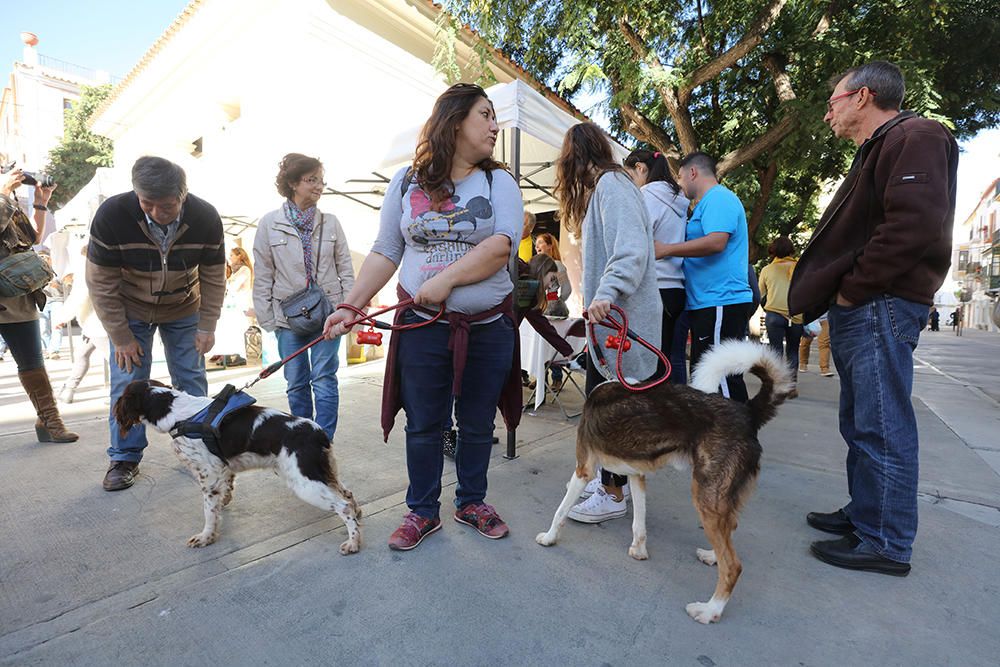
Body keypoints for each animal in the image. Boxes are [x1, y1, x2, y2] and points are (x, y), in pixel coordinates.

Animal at [536, 342, 792, 624]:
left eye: (583, 356)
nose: (564, 362)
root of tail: (747, 412)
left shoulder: (584, 469)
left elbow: (560, 511)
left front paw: (549, 538)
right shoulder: (636, 475)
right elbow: (639, 522)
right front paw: (639, 550)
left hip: (706, 497)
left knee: (733, 566)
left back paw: (709, 610)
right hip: (722, 498)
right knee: (729, 532)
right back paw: (711, 556)